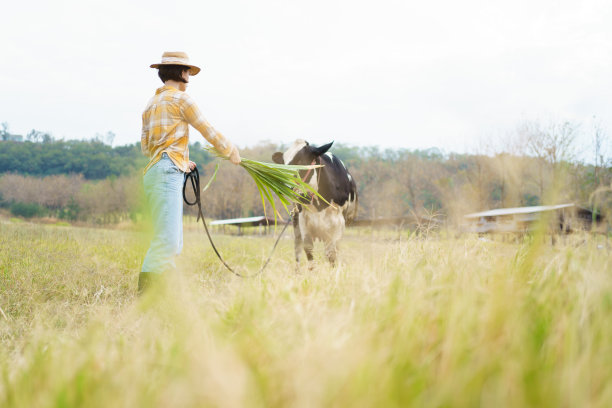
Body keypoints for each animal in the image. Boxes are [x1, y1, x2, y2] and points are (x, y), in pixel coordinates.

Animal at [272, 140, 358, 268]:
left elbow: (331, 254)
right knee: (297, 250)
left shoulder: (337, 225)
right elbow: (308, 251)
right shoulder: (304, 222)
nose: (283, 185)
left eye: (301, 162)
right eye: (284, 164)